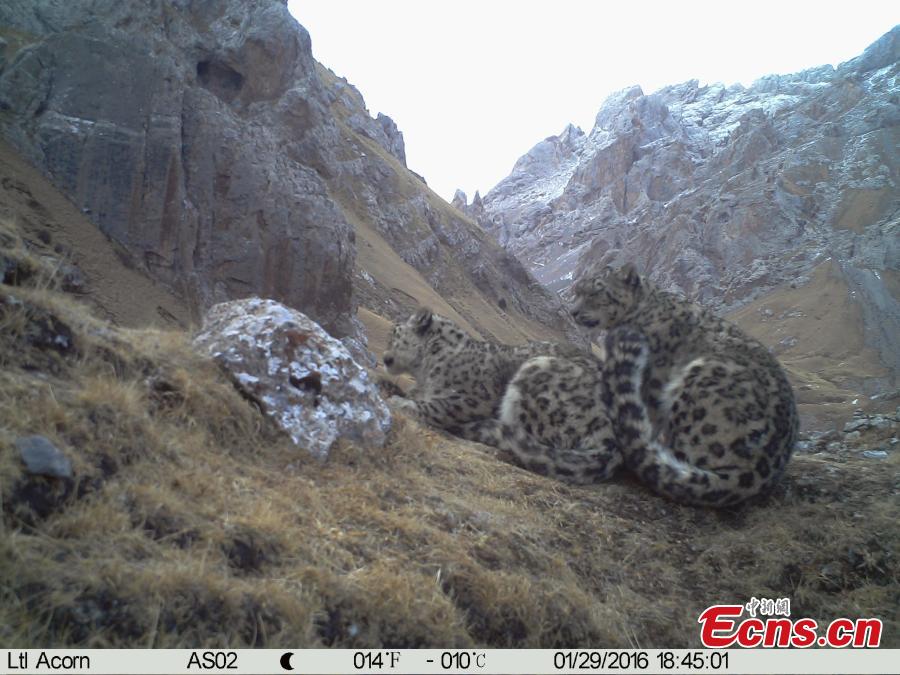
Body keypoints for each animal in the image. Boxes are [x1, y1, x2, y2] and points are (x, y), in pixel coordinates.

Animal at [569, 263, 798, 506]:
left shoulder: (652, 379)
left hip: (697, 384)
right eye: (577, 291)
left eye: (596, 292)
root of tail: (756, 471)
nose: (573, 311)